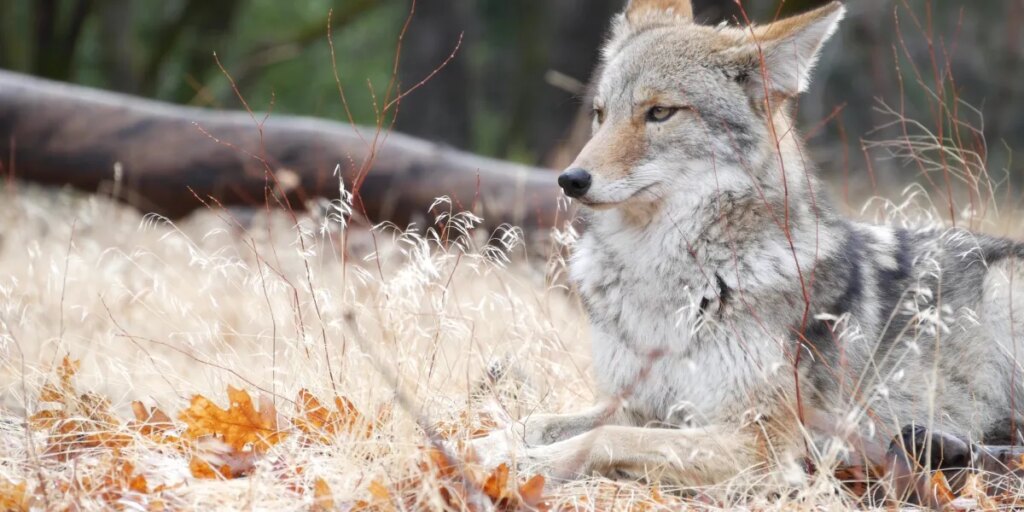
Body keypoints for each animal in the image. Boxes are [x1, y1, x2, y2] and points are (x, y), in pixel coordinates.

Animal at [472, 0, 1024, 488]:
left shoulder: (760, 442)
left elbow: (603, 438)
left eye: (660, 112)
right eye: (600, 114)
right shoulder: (639, 402)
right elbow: (541, 421)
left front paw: (527, 465)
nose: (570, 179)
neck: (663, 281)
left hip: (1006, 289)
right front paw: (483, 445)